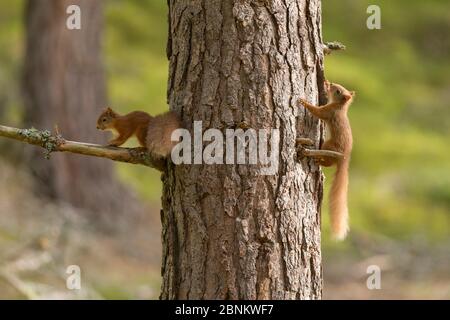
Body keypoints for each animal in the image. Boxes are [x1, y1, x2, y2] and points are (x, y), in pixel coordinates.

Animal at [298, 80, 356, 240]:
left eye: (338, 91)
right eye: (337, 87)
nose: (330, 83)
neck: (340, 107)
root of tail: (344, 159)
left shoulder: (328, 112)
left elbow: (317, 112)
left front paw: (303, 102)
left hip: (328, 145)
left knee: (328, 162)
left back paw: (319, 160)